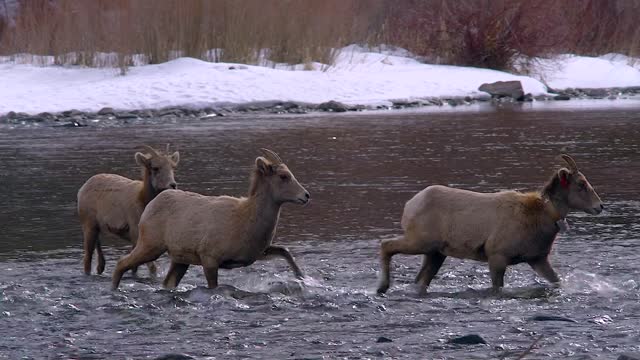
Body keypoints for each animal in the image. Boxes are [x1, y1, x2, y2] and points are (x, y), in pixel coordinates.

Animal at [77, 145, 179, 274]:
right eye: (155, 168)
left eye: (173, 167)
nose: (173, 185)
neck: (143, 201)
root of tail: (83, 188)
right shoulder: (137, 236)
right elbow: (152, 268)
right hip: (88, 226)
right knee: (87, 260)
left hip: (96, 229)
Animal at [111, 148, 312, 292]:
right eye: (283, 176)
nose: (306, 196)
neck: (245, 218)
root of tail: (150, 206)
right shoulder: (210, 260)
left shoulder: (256, 254)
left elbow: (285, 252)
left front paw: (302, 279)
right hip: (151, 246)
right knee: (121, 263)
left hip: (179, 260)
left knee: (167, 283)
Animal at [380, 153, 604, 294]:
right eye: (581, 184)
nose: (600, 206)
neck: (540, 215)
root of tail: (410, 205)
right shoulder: (497, 257)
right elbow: (497, 288)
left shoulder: (537, 259)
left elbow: (556, 281)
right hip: (420, 242)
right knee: (386, 245)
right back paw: (381, 287)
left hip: (435, 253)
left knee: (420, 280)